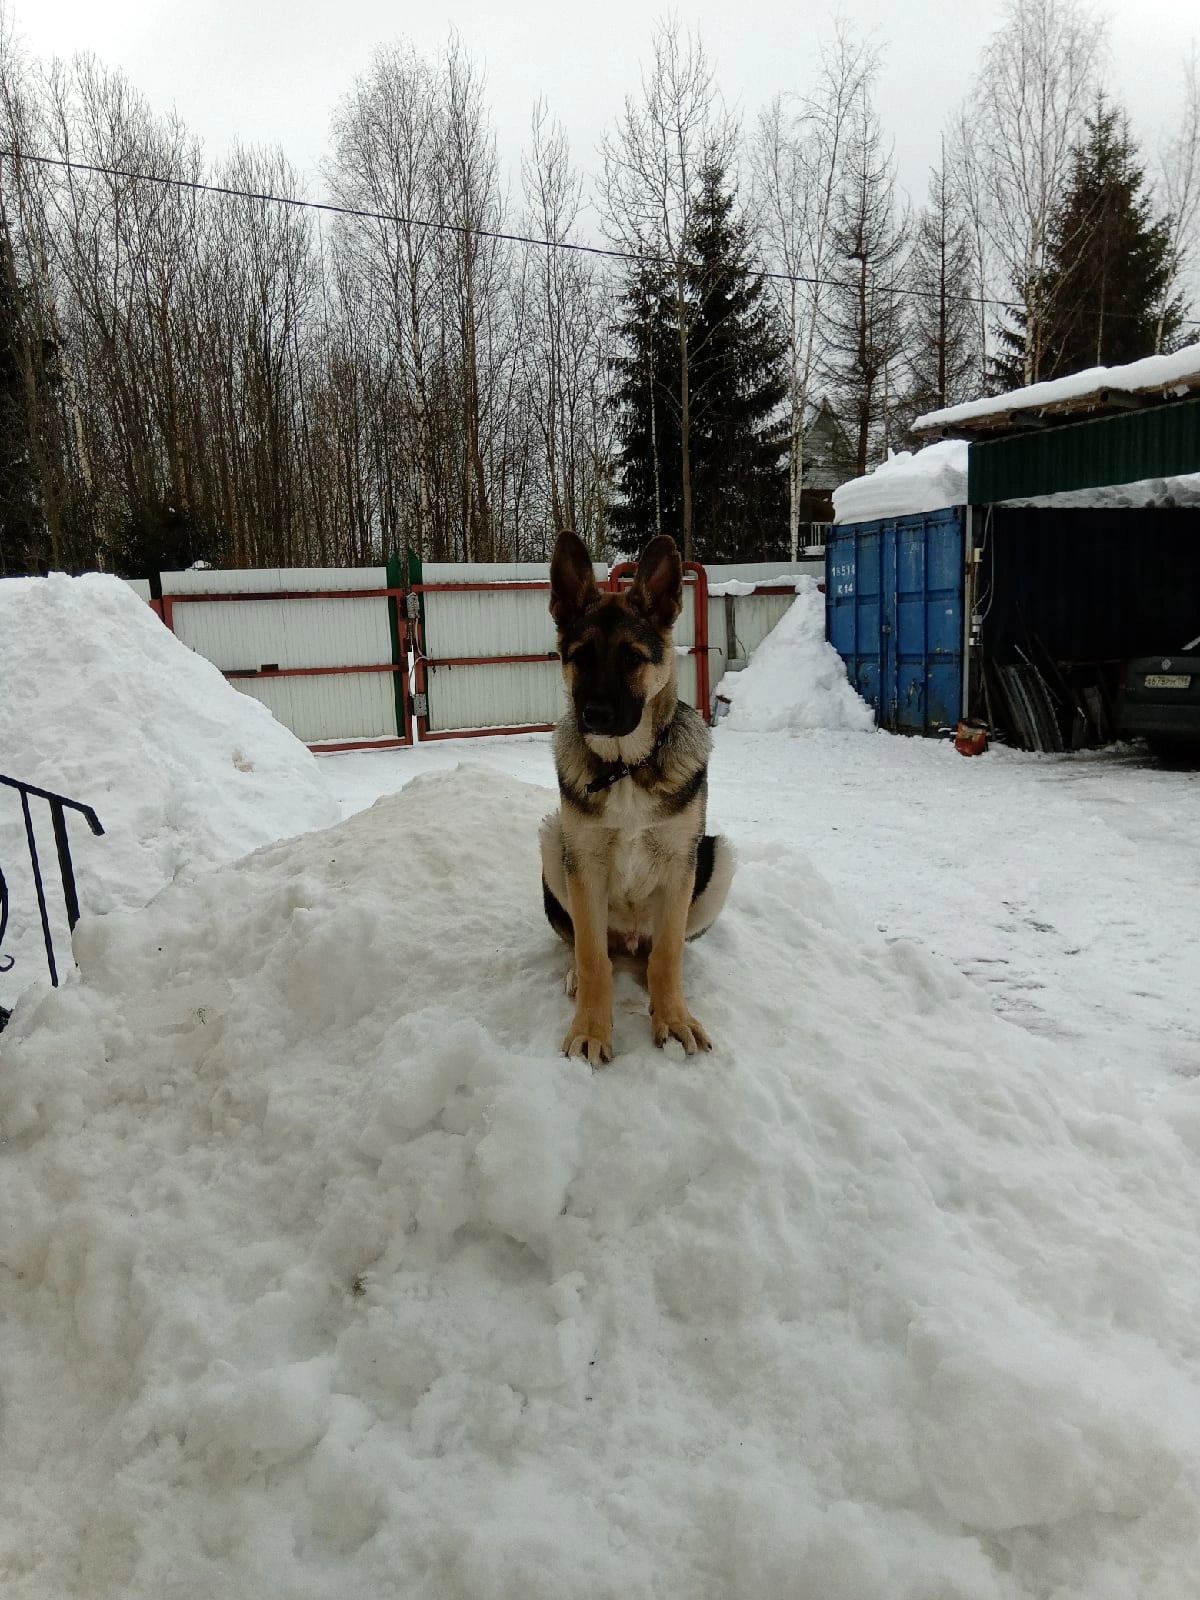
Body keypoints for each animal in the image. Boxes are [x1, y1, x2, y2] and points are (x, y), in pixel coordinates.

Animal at [544, 531, 732, 1068]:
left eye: (632, 657)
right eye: (580, 656)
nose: (594, 715)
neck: (626, 767)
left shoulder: (680, 863)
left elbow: (667, 955)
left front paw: (673, 1018)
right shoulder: (583, 864)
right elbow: (591, 956)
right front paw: (591, 1027)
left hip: (719, 857)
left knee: (657, 953)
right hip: (552, 841)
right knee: (595, 949)